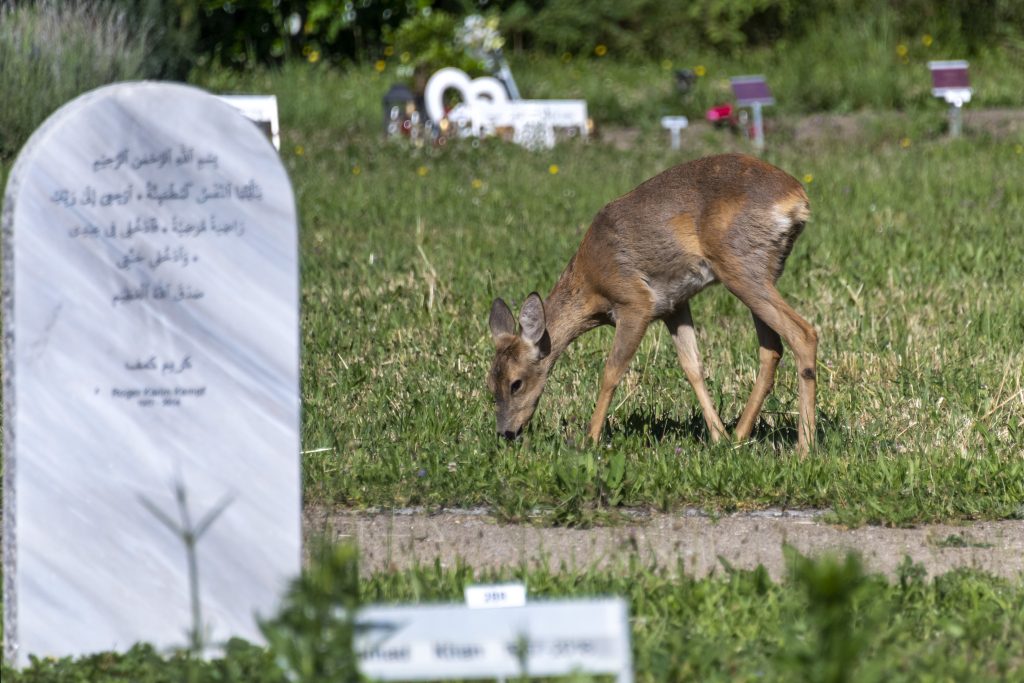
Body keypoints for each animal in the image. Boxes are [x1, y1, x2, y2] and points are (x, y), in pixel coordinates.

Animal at [485, 155, 815, 454]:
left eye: (516, 383)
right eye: (490, 383)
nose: (506, 433)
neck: (591, 285)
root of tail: (796, 198)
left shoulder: (635, 302)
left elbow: (612, 371)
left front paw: (590, 439)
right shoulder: (674, 305)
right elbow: (692, 367)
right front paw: (717, 436)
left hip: (740, 266)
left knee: (804, 333)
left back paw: (804, 448)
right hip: (762, 270)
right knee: (772, 349)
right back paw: (739, 436)